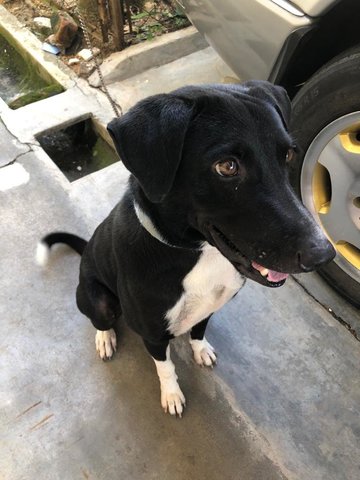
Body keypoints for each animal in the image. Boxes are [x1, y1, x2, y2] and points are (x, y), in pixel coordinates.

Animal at [36, 81, 334, 416]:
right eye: (227, 166)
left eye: (288, 154)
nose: (323, 254)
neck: (200, 254)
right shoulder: (152, 334)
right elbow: (165, 367)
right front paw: (172, 395)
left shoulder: (209, 307)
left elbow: (198, 331)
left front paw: (200, 349)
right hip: (96, 299)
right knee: (100, 319)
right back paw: (105, 337)